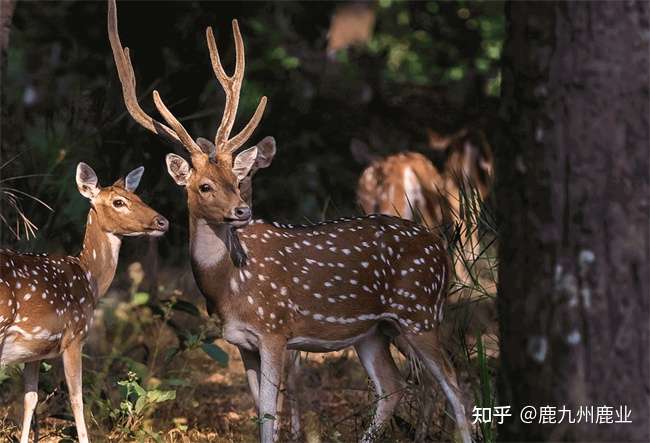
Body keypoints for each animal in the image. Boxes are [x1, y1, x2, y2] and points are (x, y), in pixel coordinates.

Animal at [0, 164, 167, 443]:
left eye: (138, 196)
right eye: (118, 202)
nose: (162, 221)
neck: (90, 277)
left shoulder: (34, 349)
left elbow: (30, 399)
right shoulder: (74, 336)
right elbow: (77, 399)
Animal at [109, 1, 468, 442]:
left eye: (237, 181)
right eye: (205, 186)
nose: (241, 212)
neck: (229, 285)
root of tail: (440, 248)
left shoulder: (274, 329)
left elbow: (269, 415)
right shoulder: (242, 342)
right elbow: (260, 414)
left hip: (419, 311)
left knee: (456, 385)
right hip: (374, 330)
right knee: (394, 387)